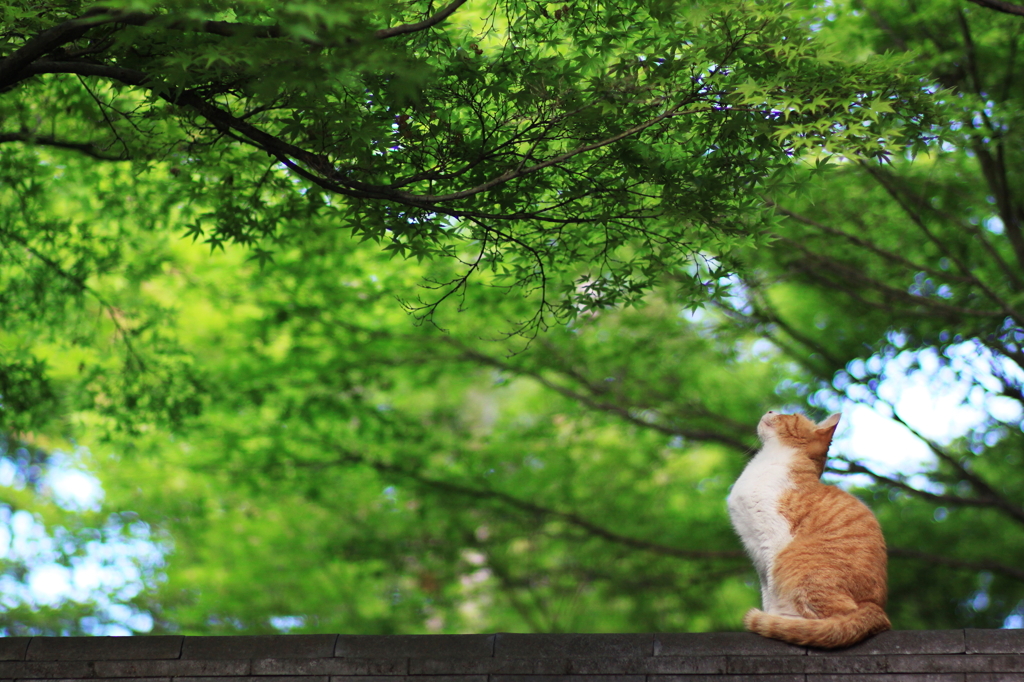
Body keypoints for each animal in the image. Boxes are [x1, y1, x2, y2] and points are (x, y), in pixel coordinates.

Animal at [729, 411, 888, 647]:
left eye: (791, 415)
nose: (771, 411)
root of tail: (877, 608)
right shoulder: (757, 554)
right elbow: (766, 592)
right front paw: (770, 616)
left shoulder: (774, 541)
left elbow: (773, 592)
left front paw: (773, 619)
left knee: (835, 618)